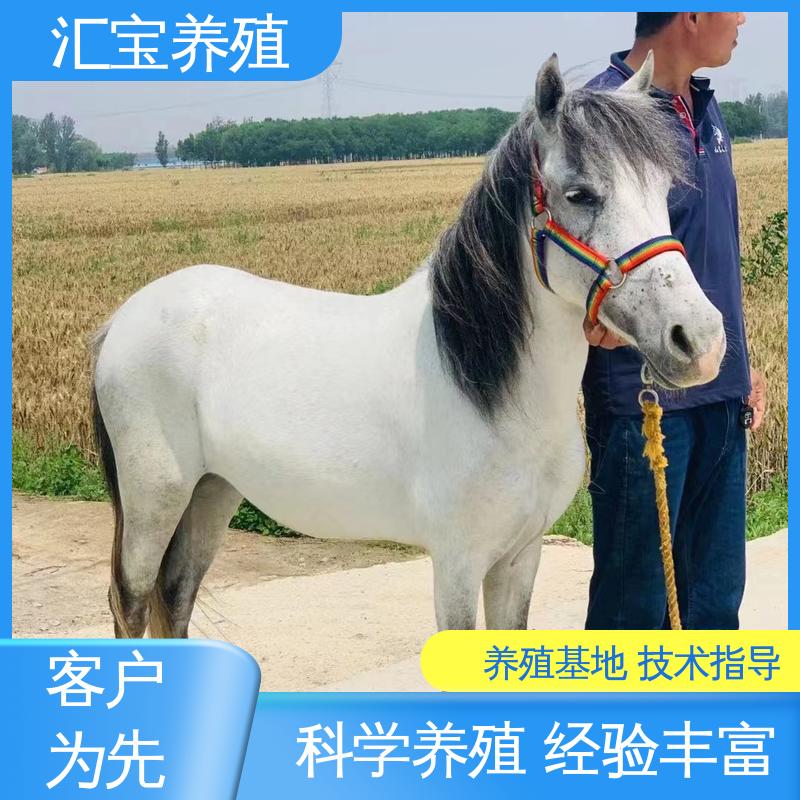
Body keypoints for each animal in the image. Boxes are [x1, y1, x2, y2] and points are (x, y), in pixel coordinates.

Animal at [91, 53, 725, 639]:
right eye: (581, 194)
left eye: (663, 191)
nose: (699, 340)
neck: (497, 397)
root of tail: (121, 318)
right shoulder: (457, 563)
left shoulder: (520, 557)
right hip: (155, 498)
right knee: (132, 604)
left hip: (212, 491)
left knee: (175, 598)